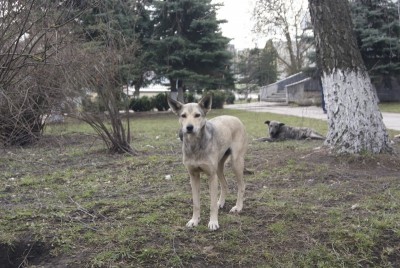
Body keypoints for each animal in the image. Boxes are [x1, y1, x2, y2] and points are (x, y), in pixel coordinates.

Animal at [166, 94, 247, 230]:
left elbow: (212, 204)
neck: (195, 145)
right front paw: (194, 220)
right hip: (219, 167)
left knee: (241, 186)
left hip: (235, 163)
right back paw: (221, 202)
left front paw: (213, 222)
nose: (189, 127)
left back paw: (238, 207)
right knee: (225, 185)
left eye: (197, 115)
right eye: (183, 115)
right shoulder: (193, 176)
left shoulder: (211, 176)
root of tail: (235, 118)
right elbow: (196, 203)